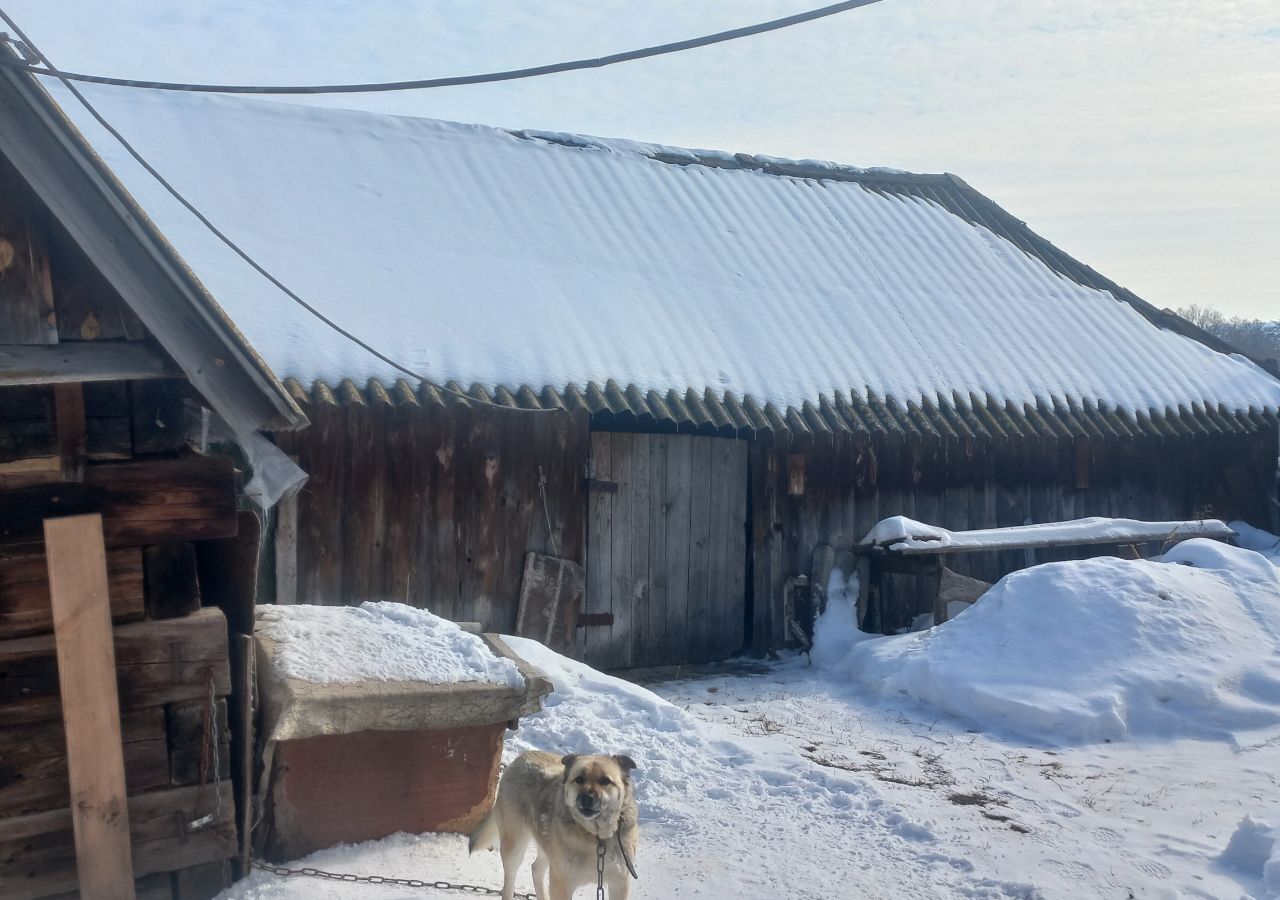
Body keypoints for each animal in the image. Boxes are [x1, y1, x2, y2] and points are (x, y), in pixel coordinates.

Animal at [471, 747, 640, 900]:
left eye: (605, 781)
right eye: (579, 779)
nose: (587, 798)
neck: (596, 836)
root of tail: (522, 756)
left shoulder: (619, 882)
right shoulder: (562, 881)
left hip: (546, 847)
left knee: (535, 869)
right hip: (515, 846)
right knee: (509, 880)